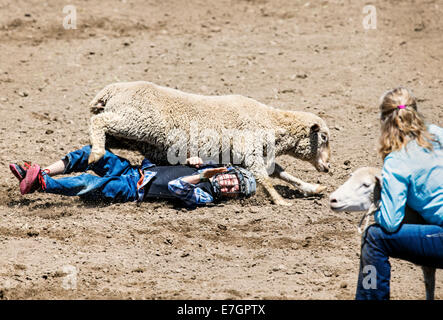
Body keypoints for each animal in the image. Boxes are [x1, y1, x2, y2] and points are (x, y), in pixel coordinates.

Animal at [86, 80, 332, 205]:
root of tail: (111, 90)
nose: (329, 167)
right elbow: (266, 178)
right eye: (324, 138)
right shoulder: (249, 150)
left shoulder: (250, 155)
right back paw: (96, 153)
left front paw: (312, 187)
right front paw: (280, 201)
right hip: (136, 122)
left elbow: (283, 174)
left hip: (128, 135)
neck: (270, 122)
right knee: (98, 121)